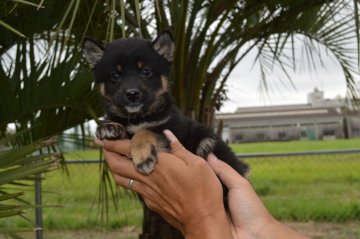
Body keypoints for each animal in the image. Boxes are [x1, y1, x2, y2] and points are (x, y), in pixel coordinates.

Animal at [83, 30, 248, 177]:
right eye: (115, 76)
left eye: (146, 72)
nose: (132, 94)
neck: (138, 117)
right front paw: (109, 126)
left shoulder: (170, 128)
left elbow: (145, 131)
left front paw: (143, 156)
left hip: (209, 142)